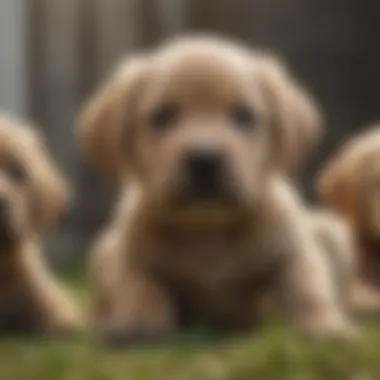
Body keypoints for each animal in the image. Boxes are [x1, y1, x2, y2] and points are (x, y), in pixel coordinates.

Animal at [77, 35, 354, 342]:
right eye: (162, 116)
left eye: (244, 115)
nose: (205, 159)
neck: (208, 231)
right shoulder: (129, 255)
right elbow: (140, 287)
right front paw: (137, 325)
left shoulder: (292, 249)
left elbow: (305, 285)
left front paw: (324, 327)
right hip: (102, 249)